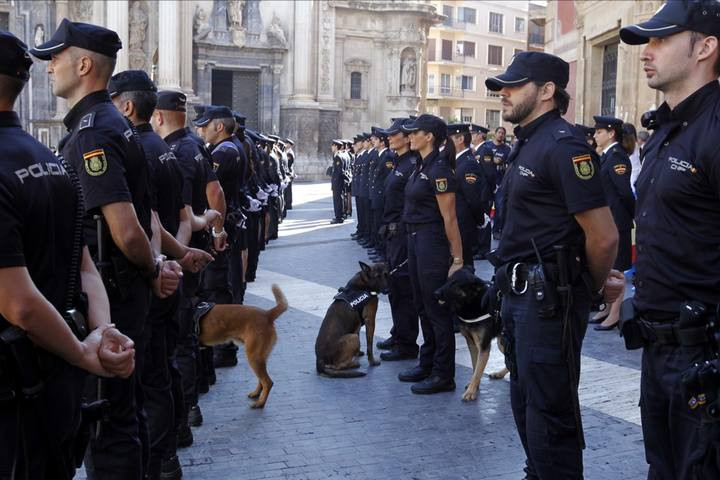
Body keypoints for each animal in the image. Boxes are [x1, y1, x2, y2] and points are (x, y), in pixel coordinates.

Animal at [434, 270, 506, 402]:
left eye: (455, 284)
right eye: (447, 280)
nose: (435, 293)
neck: (472, 303)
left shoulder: (483, 347)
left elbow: (477, 371)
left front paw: (470, 392)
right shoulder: (472, 344)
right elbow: (474, 366)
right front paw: (474, 387)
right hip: (502, 342)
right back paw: (500, 374)